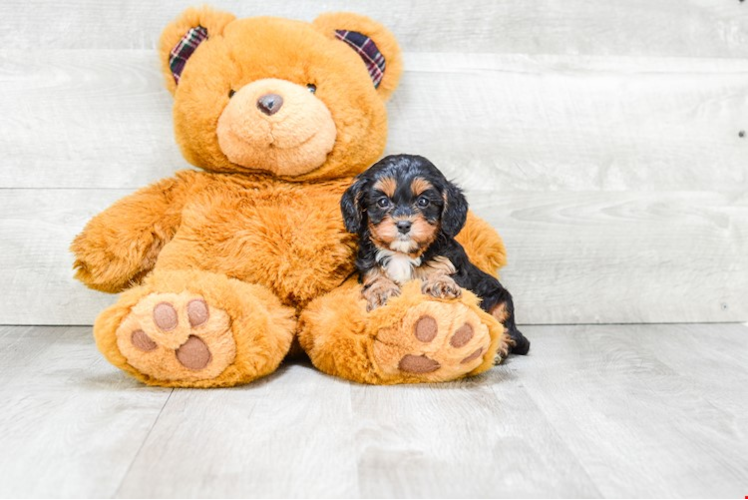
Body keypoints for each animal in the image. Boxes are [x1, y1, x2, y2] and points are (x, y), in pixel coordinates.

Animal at [342, 154, 528, 354]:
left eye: (423, 201)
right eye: (382, 202)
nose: (403, 225)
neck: (403, 254)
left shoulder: (448, 262)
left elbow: (440, 272)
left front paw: (441, 284)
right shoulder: (367, 267)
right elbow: (375, 278)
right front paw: (382, 291)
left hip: (502, 299)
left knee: (505, 329)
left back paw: (499, 348)